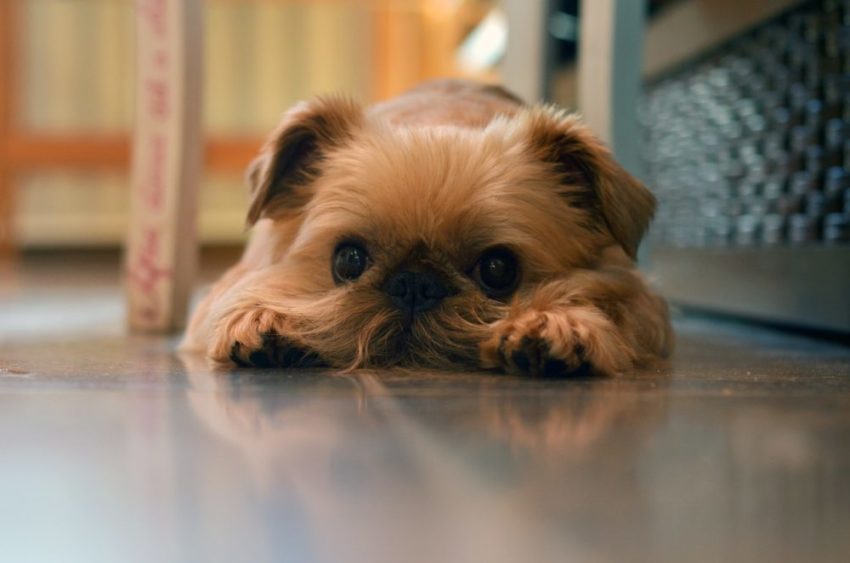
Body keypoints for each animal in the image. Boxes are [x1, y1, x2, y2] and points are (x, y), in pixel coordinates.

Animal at [182, 79, 672, 376]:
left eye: (498, 270)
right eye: (348, 259)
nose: (415, 283)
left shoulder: (638, 296)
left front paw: (555, 322)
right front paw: (271, 322)